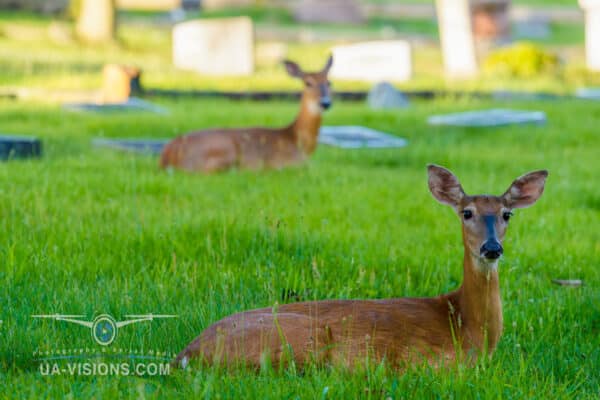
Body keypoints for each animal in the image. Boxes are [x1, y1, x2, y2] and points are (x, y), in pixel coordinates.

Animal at [159, 56, 332, 173]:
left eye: (329, 83)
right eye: (308, 83)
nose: (325, 102)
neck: (296, 138)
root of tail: (167, 155)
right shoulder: (290, 164)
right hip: (223, 151)